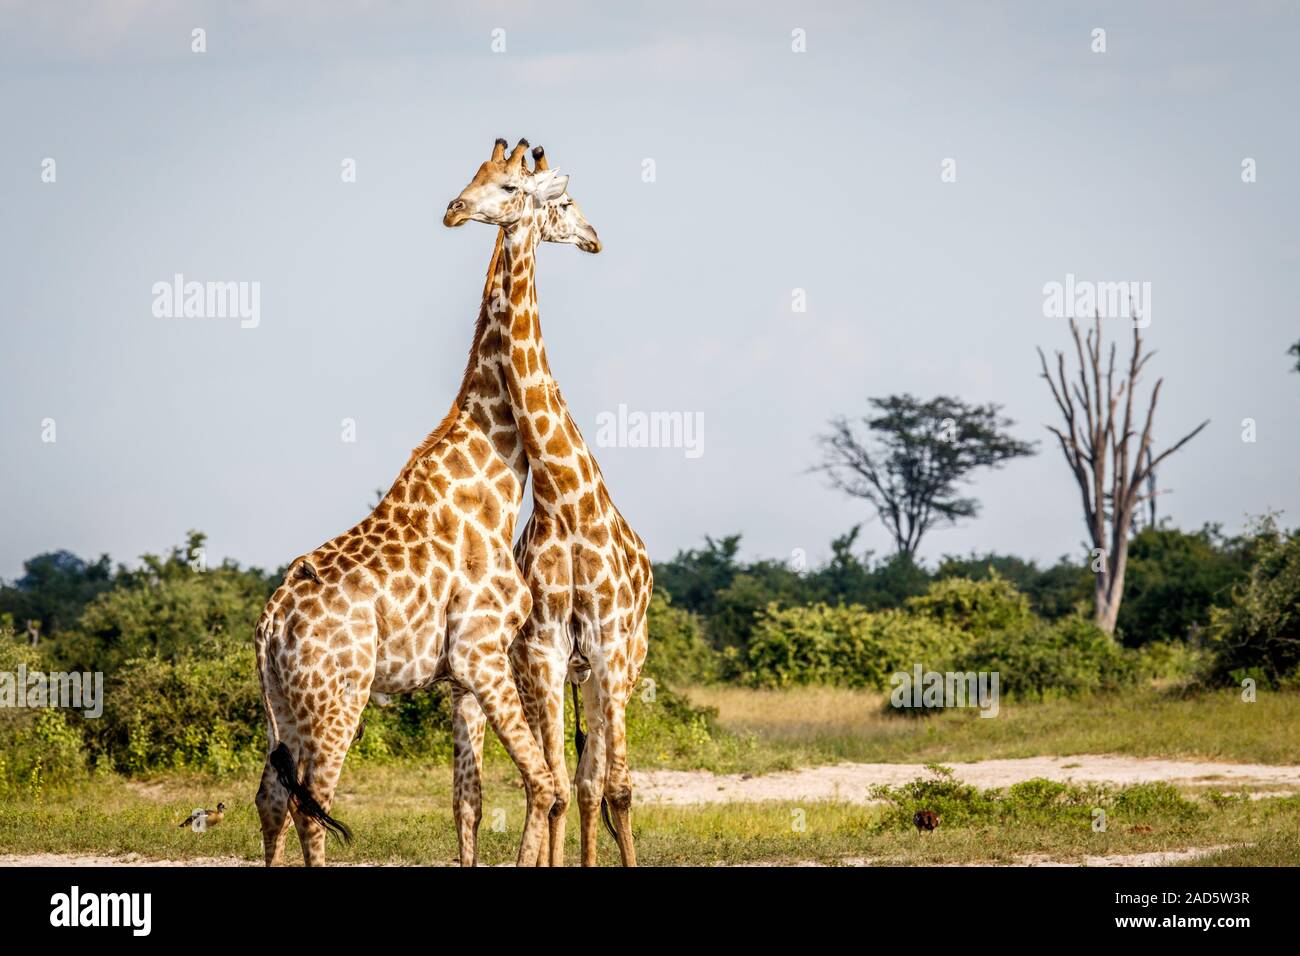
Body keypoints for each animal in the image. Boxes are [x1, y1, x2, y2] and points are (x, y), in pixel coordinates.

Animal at [253, 137, 599, 867]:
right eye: (556, 200)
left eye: (503, 183)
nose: (453, 209)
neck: (498, 469)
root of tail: (268, 627)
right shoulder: (480, 653)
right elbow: (542, 786)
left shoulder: (459, 675)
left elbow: (471, 801)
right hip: (338, 699)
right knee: (311, 807)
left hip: (285, 707)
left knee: (271, 799)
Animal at [445, 145, 653, 867]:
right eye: (560, 201)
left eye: (512, 186)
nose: (594, 237)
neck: (565, 498)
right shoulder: (544, 652)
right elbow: (558, 786)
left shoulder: (609, 645)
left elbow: (616, 787)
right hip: (556, 675)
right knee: (560, 786)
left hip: (619, 666)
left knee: (599, 783)